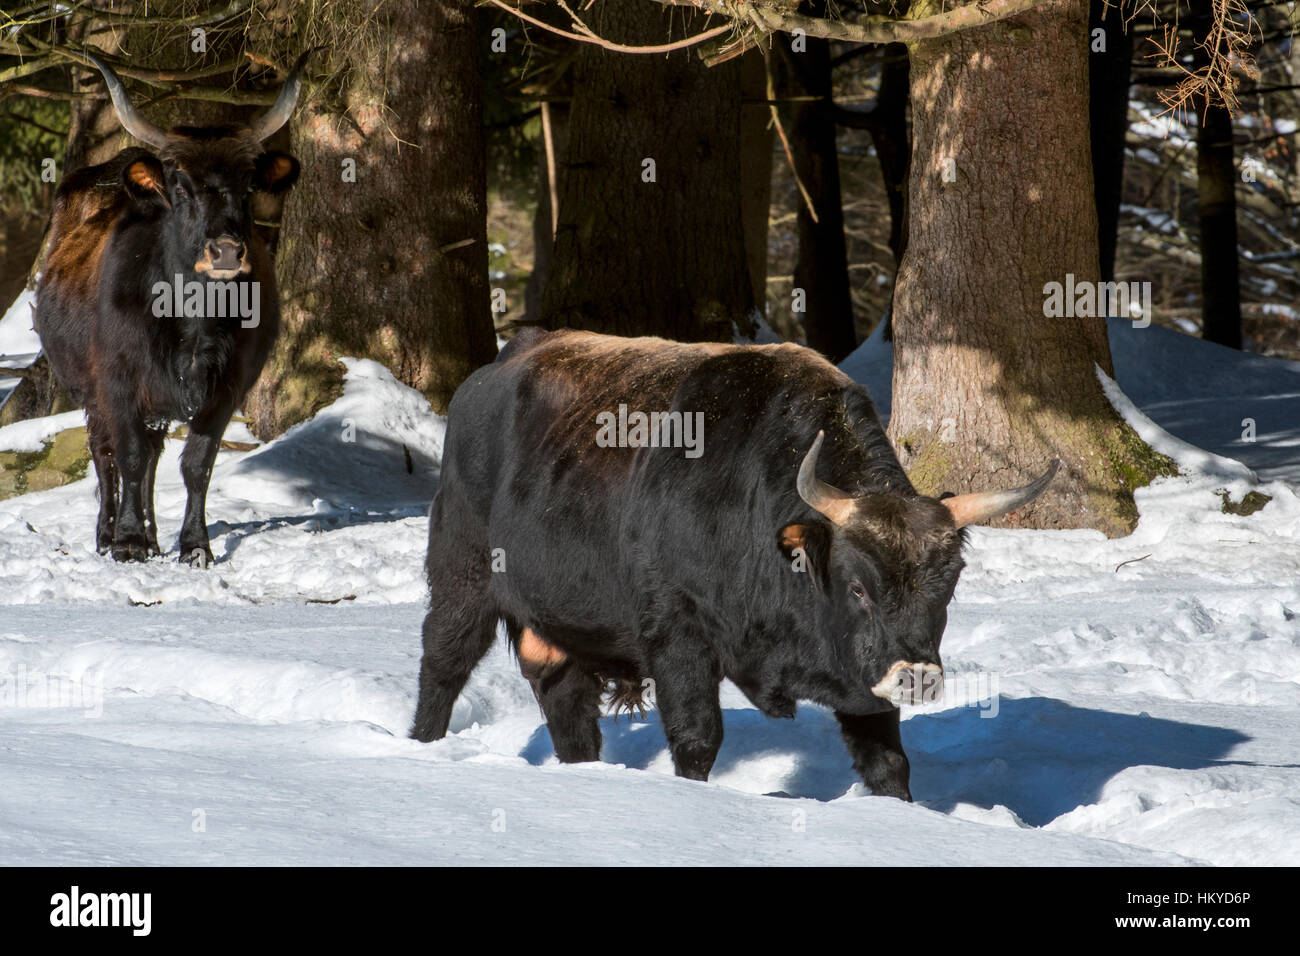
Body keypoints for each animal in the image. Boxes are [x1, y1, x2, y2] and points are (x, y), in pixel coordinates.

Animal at [34, 50, 308, 561]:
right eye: (181, 187)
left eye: (248, 187)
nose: (226, 252)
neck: (195, 323)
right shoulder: (118, 381)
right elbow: (128, 456)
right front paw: (125, 541)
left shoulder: (226, 389)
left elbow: (196, 464)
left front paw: (195, 546)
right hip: (90, 389)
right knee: (105, 453)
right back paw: (108, 535)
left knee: (155, 455)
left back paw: (154, 535)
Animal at [416, 329, 1055, 801]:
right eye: (858, 588)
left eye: (948, 584)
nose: (916, 677)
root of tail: (502, 362)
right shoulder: (678, 634)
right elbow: (697, 740)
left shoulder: (861, 675)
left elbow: (887, 763)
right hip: (462, 579)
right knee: (442, 666)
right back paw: (420, 748)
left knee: (567, 706)